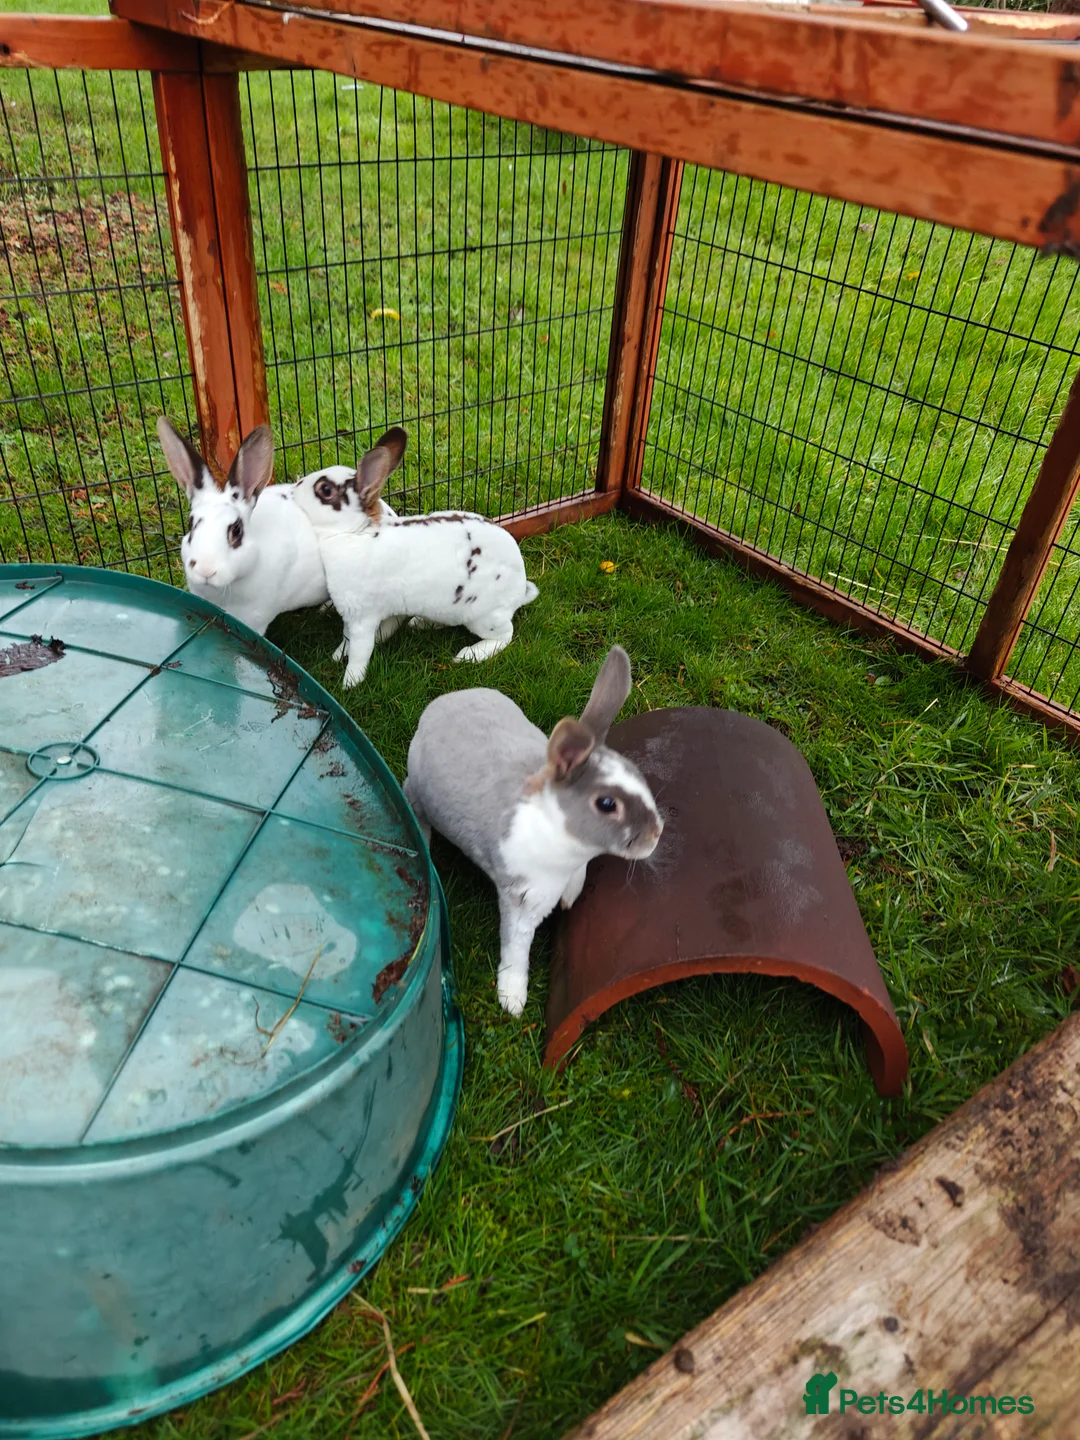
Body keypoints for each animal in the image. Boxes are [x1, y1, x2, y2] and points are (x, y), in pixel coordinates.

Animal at [291, 425, 539, 688]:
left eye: (325, 490)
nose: (295, 486)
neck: (355, 533)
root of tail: (520, 589)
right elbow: (355, 638)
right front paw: (338, 656)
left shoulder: (361, 618)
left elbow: (359, 650)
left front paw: (349, 683)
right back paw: (420, 623)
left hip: (484, 617)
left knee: (506, 635)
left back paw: (469, 654)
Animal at [403, 645, 663, 1016]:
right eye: (607, 804)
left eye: (637, 774)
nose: (656, 834)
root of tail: (440, 704)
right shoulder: (521, 896)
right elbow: (516, 946)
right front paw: (512, 999)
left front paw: (571, 896)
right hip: (418, 788)